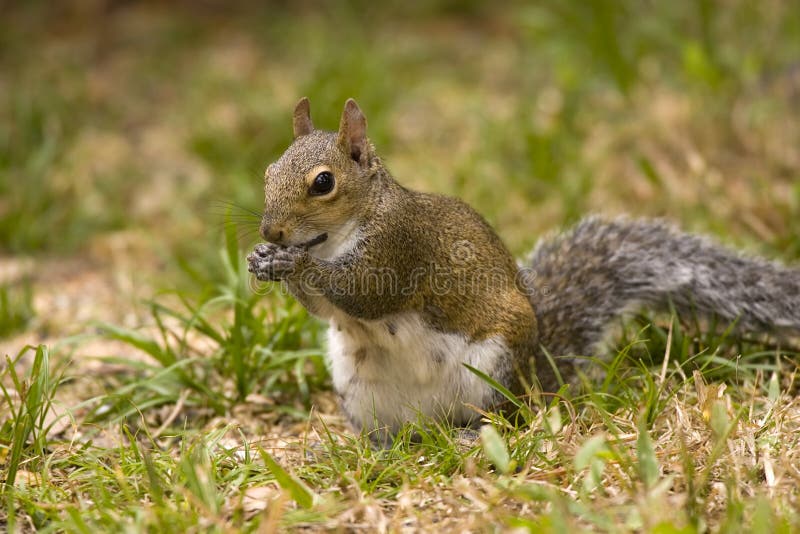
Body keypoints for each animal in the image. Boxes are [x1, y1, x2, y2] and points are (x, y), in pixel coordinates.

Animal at [247, 97, 800, 439]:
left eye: (323, 183)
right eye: (268, 171)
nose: (271, 233)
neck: (337, 236)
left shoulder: (400, 248)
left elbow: (363, 293)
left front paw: (296, 263)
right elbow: (326, 310)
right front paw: (264, 262)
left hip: (490, 368)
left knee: (502, 420)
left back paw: (472, 436)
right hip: (359, 390)